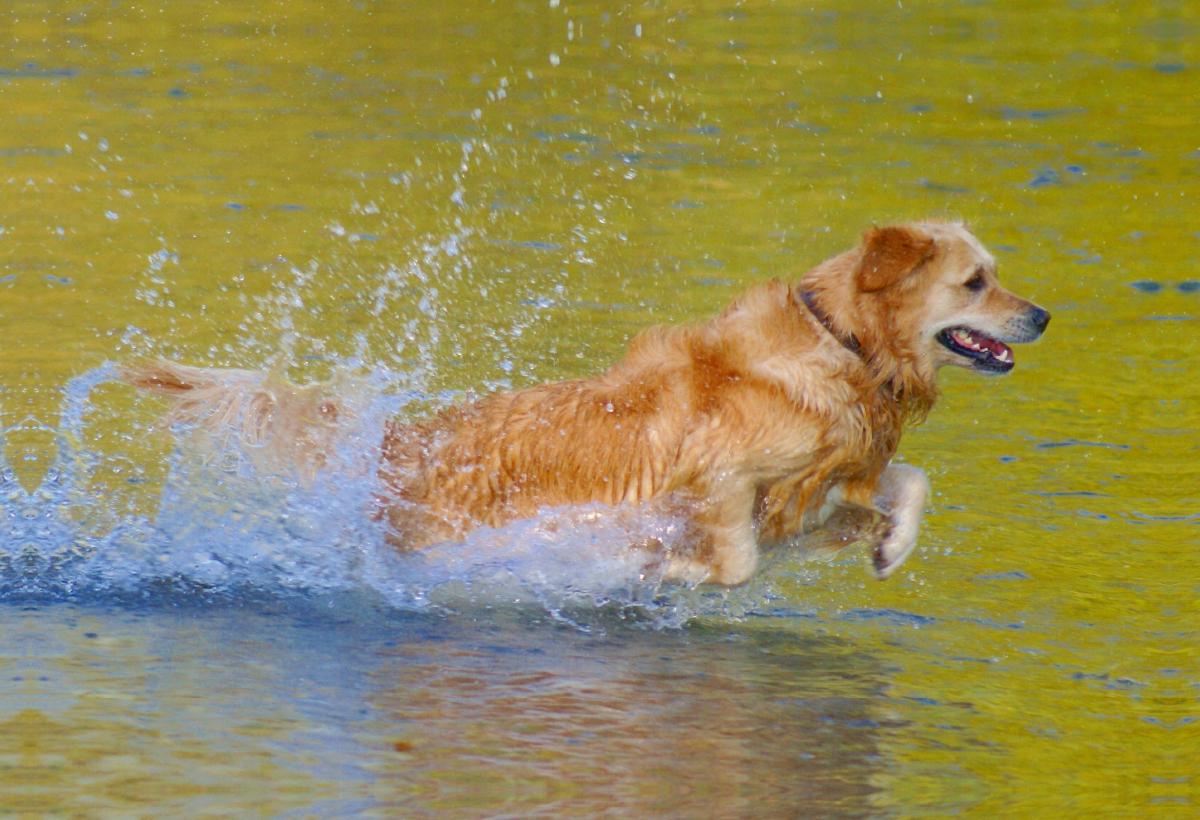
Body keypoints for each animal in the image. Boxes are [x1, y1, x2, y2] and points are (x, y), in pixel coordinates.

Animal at [119, 220, 1041, 585]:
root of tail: (402, 442)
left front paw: (889, 546)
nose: (1041, 315)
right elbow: (736, 559)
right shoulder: (716, 478)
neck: (843, 342)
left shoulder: (823, 474)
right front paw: (666, 569)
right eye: (976, 281)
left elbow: (908, 481)